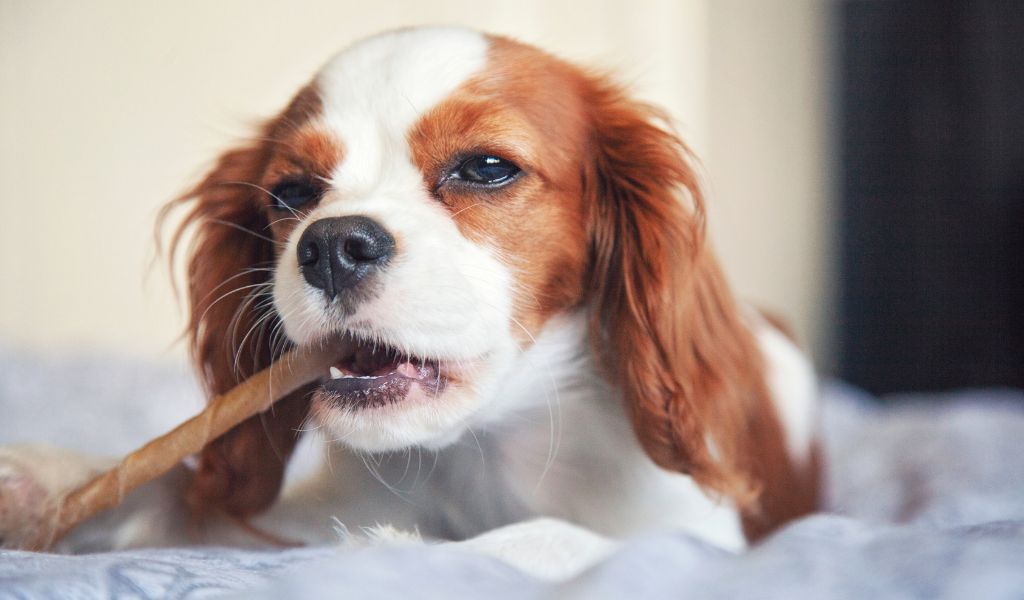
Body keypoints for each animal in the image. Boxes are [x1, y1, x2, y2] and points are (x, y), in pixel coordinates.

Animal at [0, 25, 815, 577]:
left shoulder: (712, 538)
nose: (331, 245)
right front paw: (45, 479)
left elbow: (566, 541)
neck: (486, 449)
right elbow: (179, 497)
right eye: (290, 192)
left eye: (485, 167)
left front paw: (412, 559)